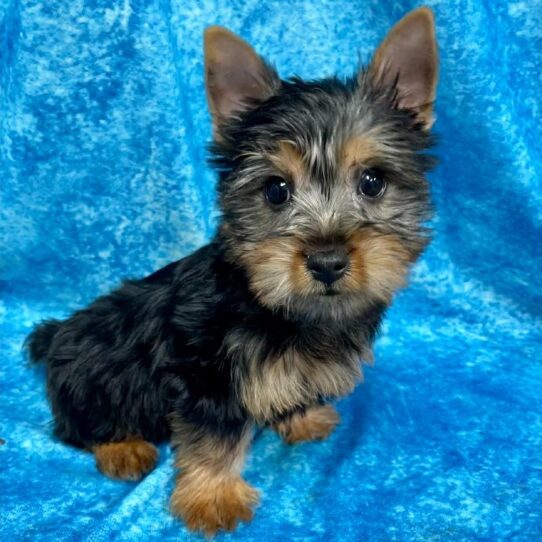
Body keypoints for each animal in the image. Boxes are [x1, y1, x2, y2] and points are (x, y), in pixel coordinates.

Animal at [27, 6, 440, 536]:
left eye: (372, 182)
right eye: (276, 190)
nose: (327, 261)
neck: (284, 309)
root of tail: (58, 334)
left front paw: (301, 417)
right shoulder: (206, 371)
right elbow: (213, 435)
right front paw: (213, 496)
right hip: (94, 369)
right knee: (77, 424)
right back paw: (123, 446)